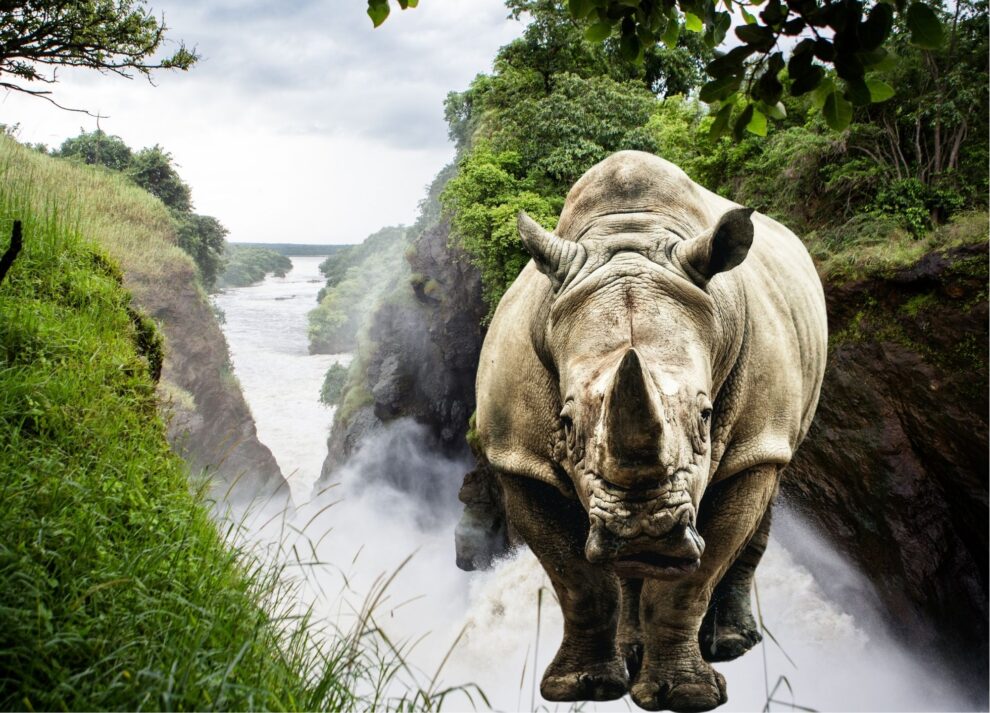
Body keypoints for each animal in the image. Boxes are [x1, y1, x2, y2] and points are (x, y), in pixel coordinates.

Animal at [473, 151, 827, 711]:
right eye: (565, 423)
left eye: (706, 416)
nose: (645, 533)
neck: (630, 237)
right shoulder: (517, 458)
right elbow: (578, 582)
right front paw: (581, 688)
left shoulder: (755, 439)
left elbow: (690, 582)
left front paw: (683, 695)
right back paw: (631, 647)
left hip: (778, 421)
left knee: (772, 476)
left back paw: (731, 644)